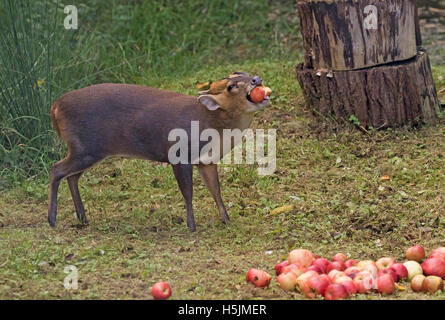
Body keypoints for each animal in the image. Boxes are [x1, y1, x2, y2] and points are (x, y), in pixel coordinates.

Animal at [48, 72, 270, 232]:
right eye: (231, 86)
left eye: (241, 72)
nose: (256, 79)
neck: (211, 124)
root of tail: (55, 106)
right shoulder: (179, 154)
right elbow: (188, 192)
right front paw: (191, 226)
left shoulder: (206, 160)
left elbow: (215, 189)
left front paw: (226, 219)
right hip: (86, 146)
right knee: (56, 169)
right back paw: (52, 219)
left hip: (87, 150)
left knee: (71, 176)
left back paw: (82, 218)